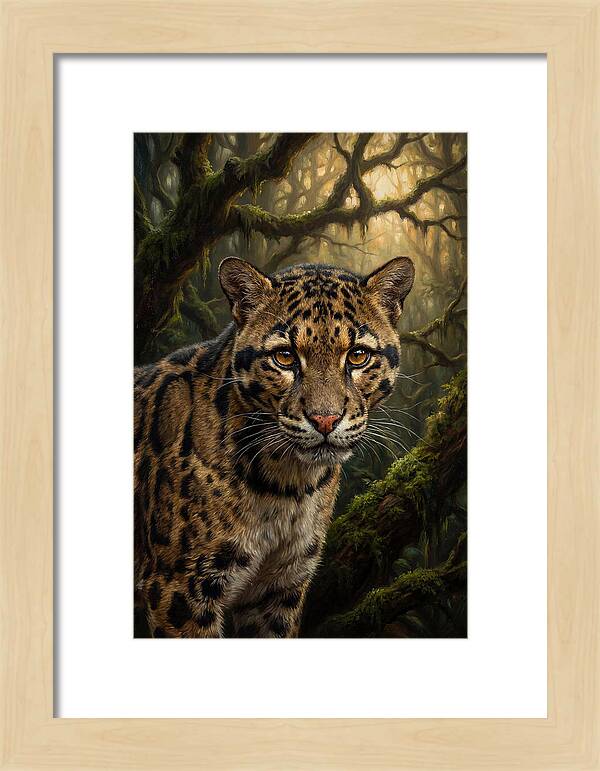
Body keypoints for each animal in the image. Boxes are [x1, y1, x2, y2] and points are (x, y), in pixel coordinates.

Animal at [134, 255, 415, 638]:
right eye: (284, 357)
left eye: (358, 356)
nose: (325, 420)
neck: (287, 485)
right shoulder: (179, 587)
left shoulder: (280, 588)